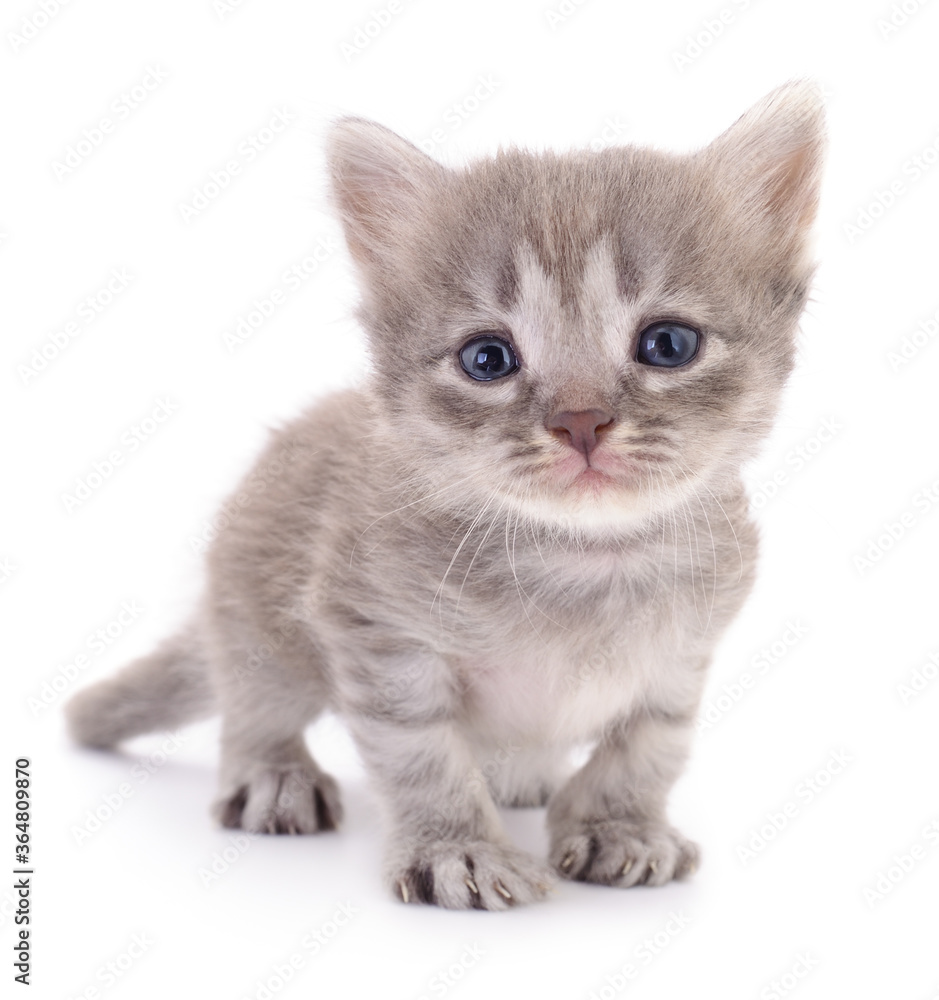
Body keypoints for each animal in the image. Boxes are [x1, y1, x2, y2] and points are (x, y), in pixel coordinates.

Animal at [68, 82, 824, 912]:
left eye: (668, 344)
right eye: (486, 359)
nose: (580, 421)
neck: (580, 561)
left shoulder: (682, 654)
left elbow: (649, 744)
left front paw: (621, 826)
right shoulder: (376, 632)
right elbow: (419, 753)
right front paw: (455, 848)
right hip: (254, 615)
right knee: (251, 705)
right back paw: (274, 774)